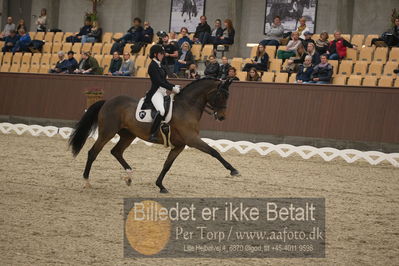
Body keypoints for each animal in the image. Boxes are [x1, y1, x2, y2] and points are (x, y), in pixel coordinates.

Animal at [68, 78, 241, 192]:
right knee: (93, 152)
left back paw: (129, 176)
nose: (222, 117)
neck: (187, 106)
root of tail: (107, 101)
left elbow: (167, 165)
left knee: (116, 151)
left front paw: (160, 185)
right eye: (221, 95)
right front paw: (233, 170)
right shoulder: (192, 140)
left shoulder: (180, 145)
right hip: (107, 133)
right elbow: (214, 152)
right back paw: (87, 181)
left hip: (128, 135)